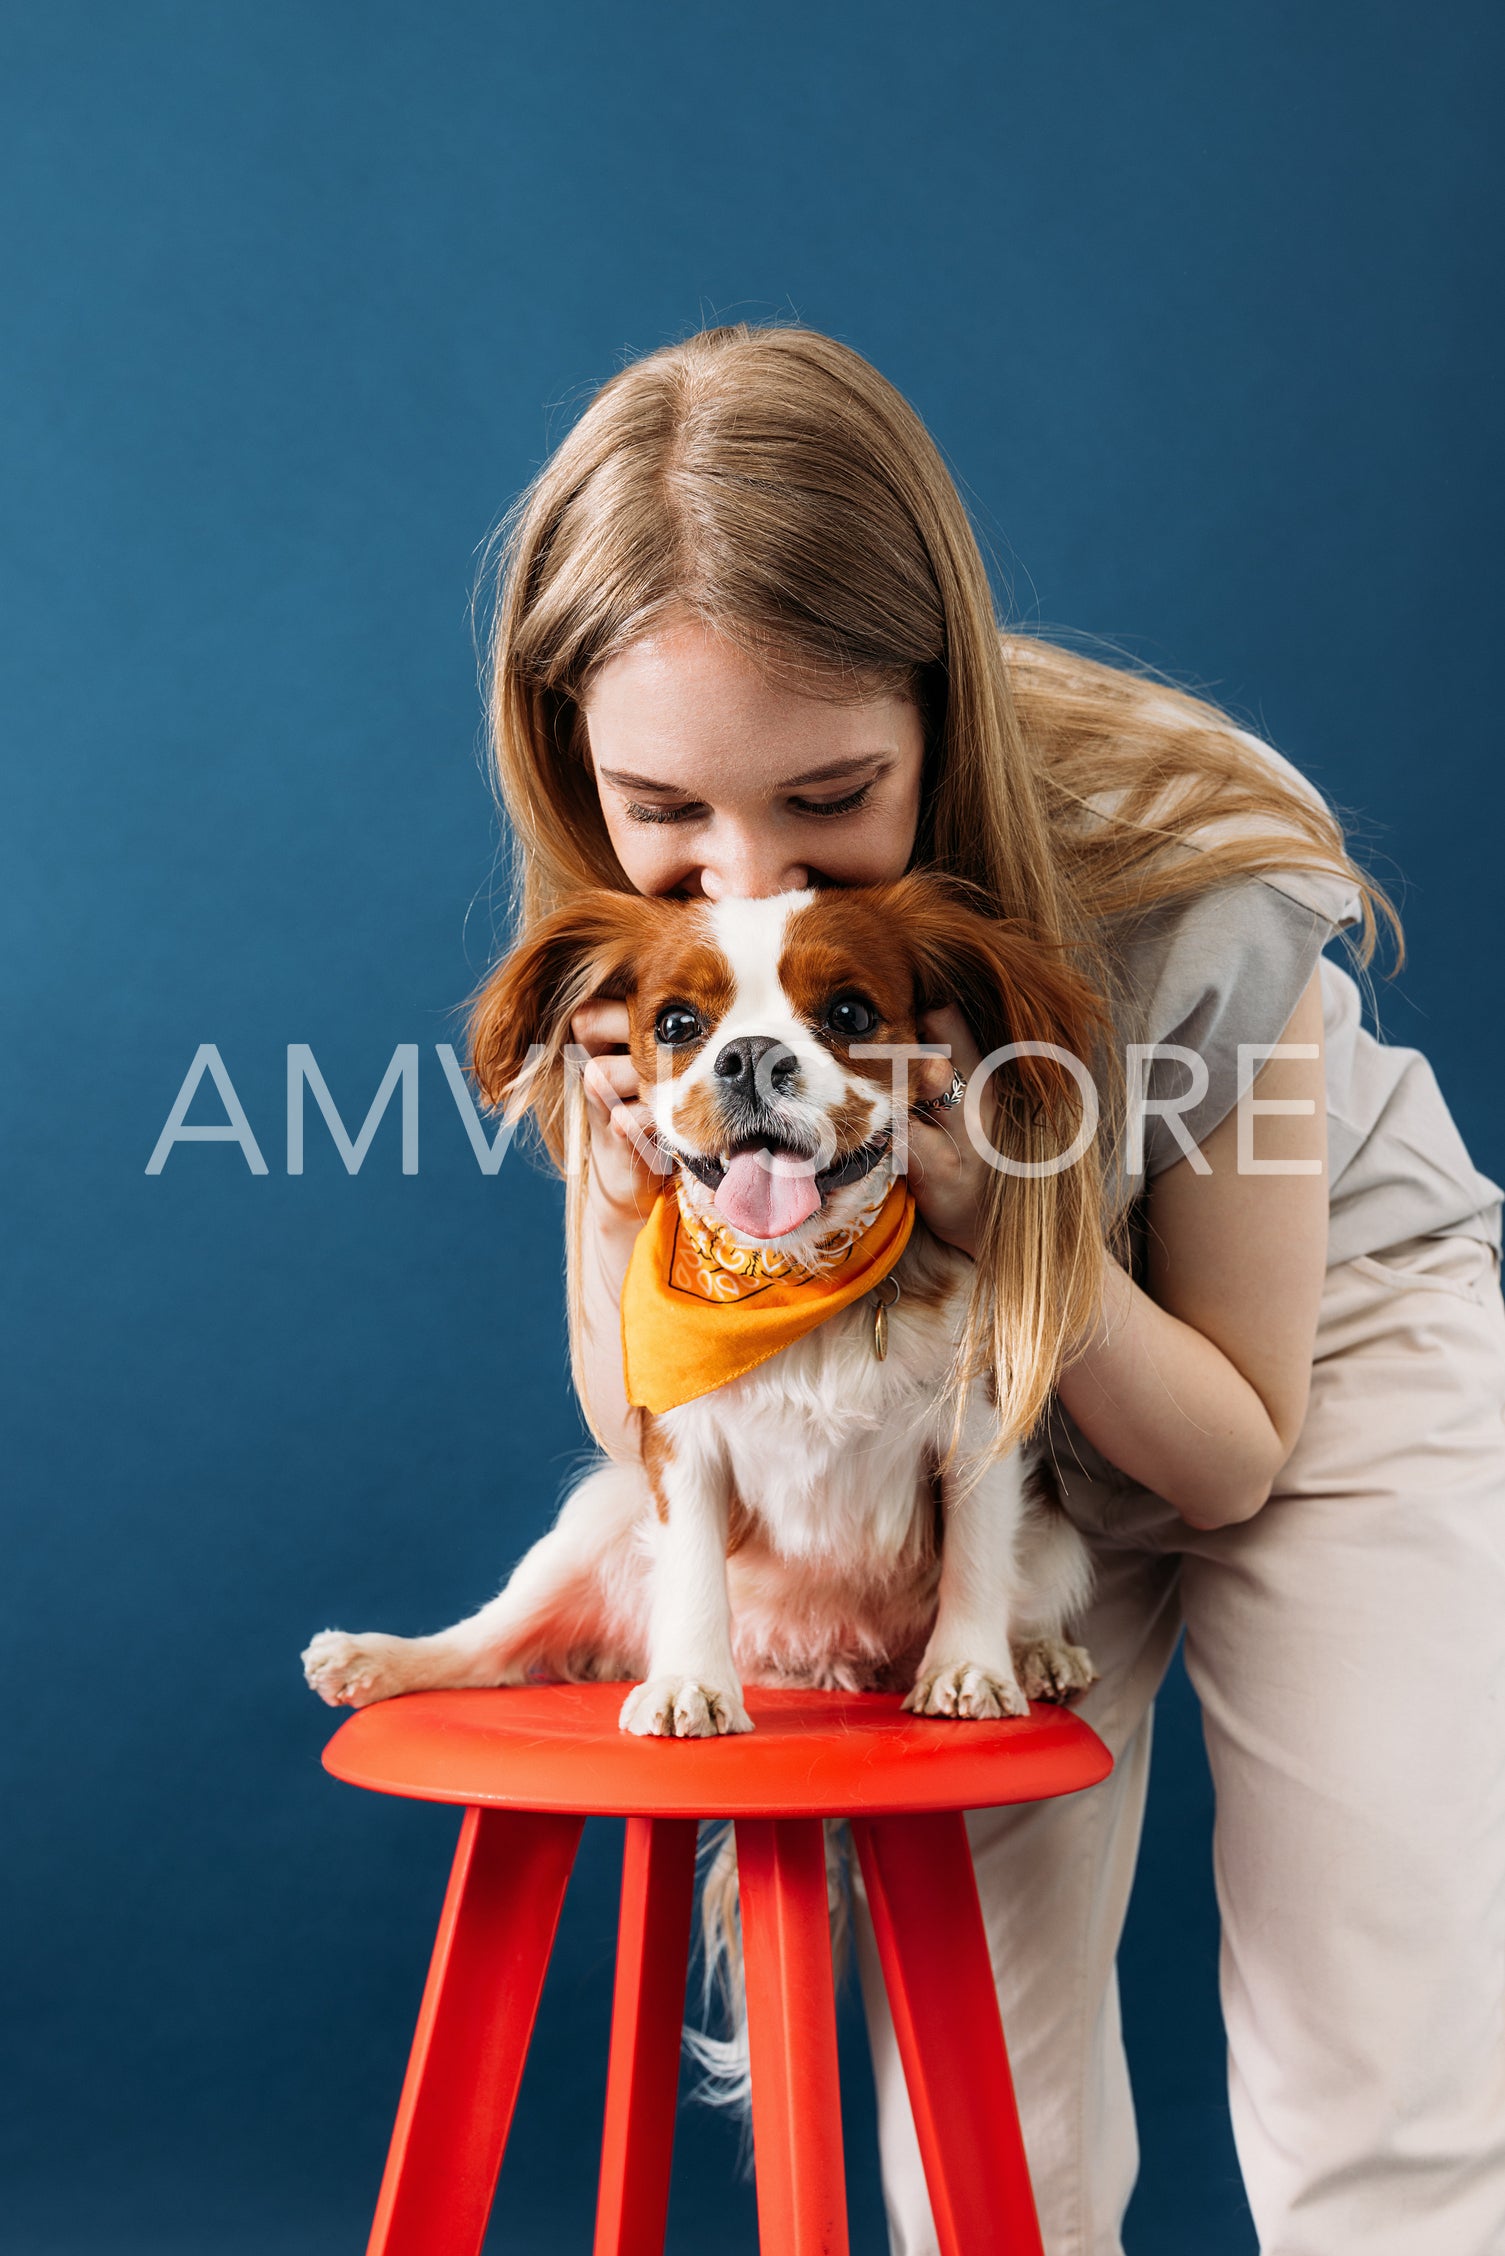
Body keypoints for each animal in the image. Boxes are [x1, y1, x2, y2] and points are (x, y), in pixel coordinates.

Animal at [306, 870, 1101, 1732]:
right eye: (678, 1023)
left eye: (850, 1014)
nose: (750, 1056)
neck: (790, 1267)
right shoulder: (678, 1437)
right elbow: (689, 1564)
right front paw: (690, 1679)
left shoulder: (979, 1427)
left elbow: (976, 1558)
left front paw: (967, 1667)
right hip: (597, 1513)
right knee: (492, 1646)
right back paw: (380, 1658)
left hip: (1055, 1542)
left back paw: (1039, 1655)